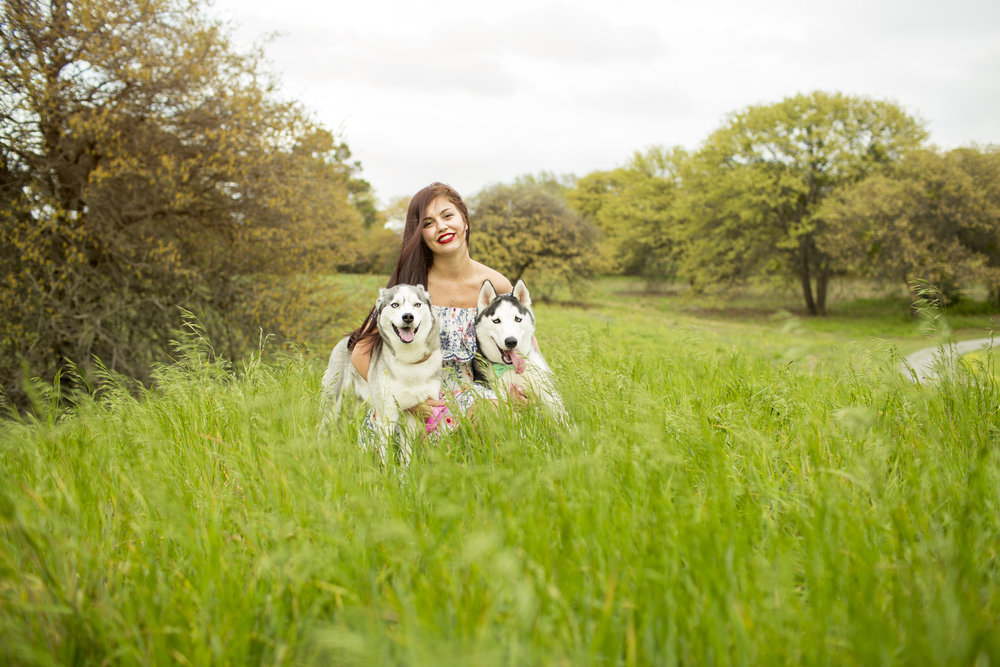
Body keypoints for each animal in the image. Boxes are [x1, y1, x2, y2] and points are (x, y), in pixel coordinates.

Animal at [322, 284, 444, 468]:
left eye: (417, 304)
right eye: (395, 305)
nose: (408, 317)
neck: (409, 360)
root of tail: (347, 340)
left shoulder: (413, 414)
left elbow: (407, 454)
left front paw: (405, 473)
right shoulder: (387, 414)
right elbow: (387, 453)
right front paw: (389, 473)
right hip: (333, 402)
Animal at [474, 280, 568, 420]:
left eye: (517, 319)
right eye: (496, 320)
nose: (511, 341)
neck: (511, 368)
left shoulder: (548, 392)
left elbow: (563, 415)